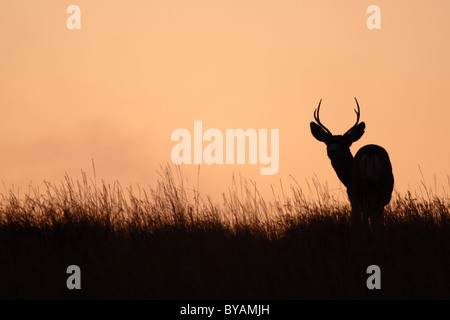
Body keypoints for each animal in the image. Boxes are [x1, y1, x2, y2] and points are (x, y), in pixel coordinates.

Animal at [310, 97, 394, 230]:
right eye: (327, 143)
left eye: (344, 143)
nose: (331, 152)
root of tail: (370, 153)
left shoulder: (352, 194)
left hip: (360, 191)